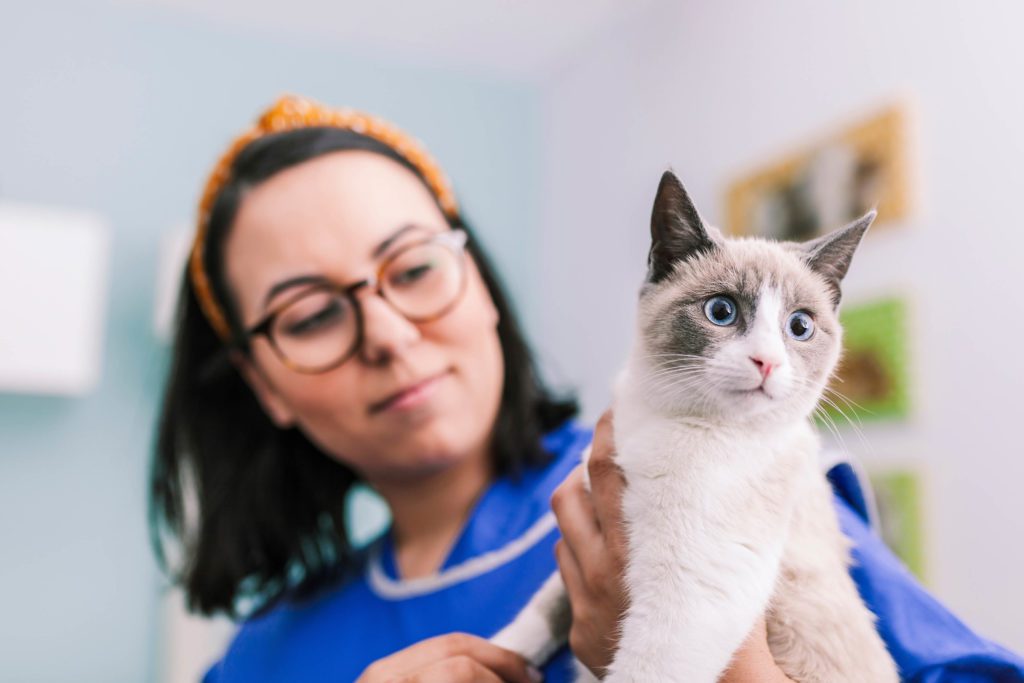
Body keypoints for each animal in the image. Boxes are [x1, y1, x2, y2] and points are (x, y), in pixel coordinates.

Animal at [491, 172, 901, 683]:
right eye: (721, 311)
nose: (767, 361)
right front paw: (493, 656)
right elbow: (545, 605)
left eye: (800, 326)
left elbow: (640, 669)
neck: (666, 418)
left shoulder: (691, 593)